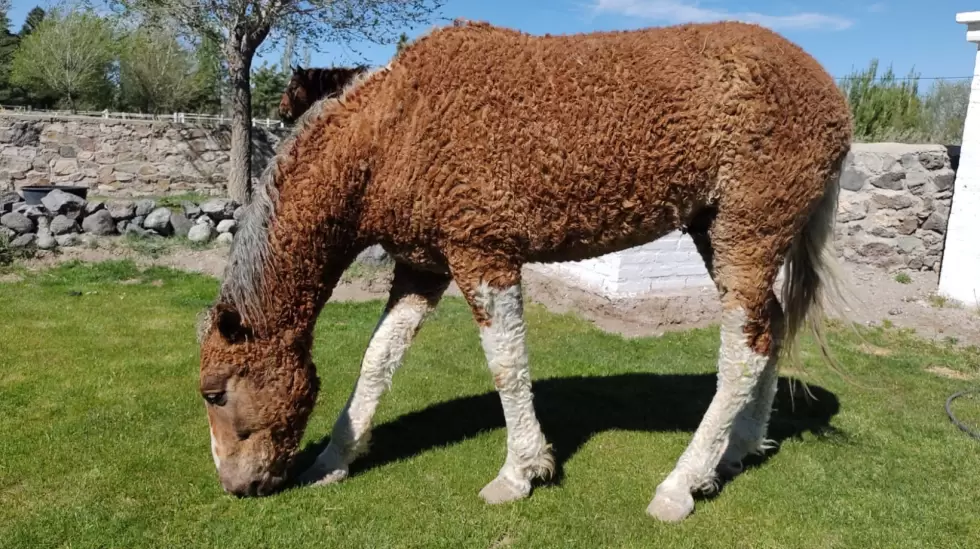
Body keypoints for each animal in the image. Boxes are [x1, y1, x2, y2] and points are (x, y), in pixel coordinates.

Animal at [197, 18, 848, 524]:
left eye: (215, 393)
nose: (234, 485)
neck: (395, 130)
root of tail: (832, 95)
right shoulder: (420, 269)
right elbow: (378, 358)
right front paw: (335, 457)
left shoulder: (483, 257)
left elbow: (507, 366)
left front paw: (521, 471)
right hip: (718, 233)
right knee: (770, 330)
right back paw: (739, 448)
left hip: (746, 231)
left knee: (743, 348)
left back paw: (682, 483)